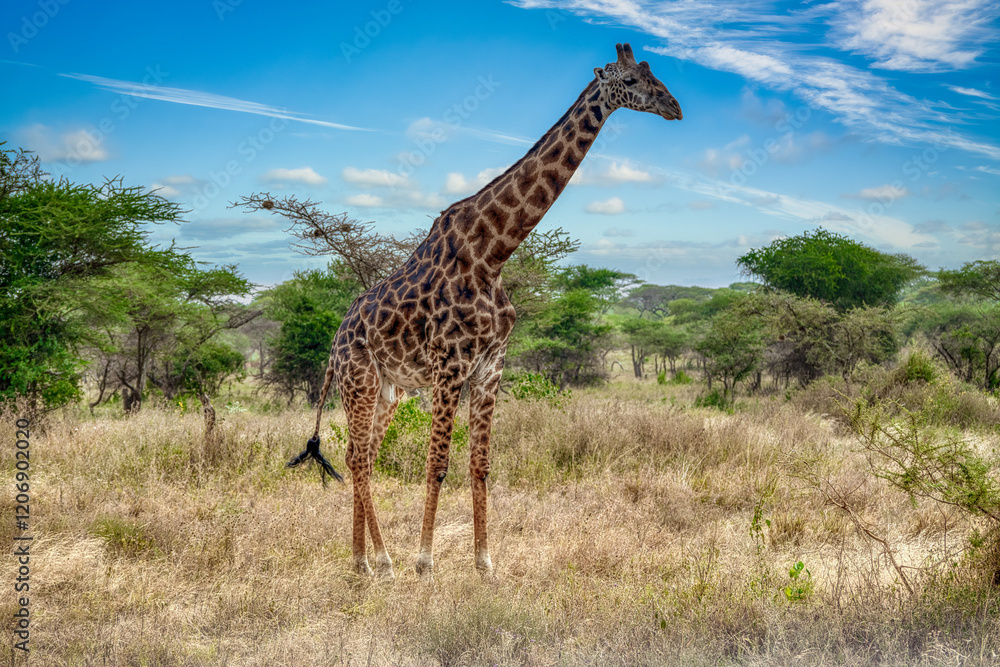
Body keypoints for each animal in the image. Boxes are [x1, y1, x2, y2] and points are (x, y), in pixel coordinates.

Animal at [288, 43, 682, 579]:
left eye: (652, 73)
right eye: (633, 81)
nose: (675, 107)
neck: (492, 254)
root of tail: (335, 342)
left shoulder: (490, 366)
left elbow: (480, 465)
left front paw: (484, 564)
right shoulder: (450, 365)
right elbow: (437, 464)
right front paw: (426, 563)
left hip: (390, 389)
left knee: (361, 455)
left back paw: (364, 561)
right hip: (359, 380)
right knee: (358, 457)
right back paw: (383, 561)